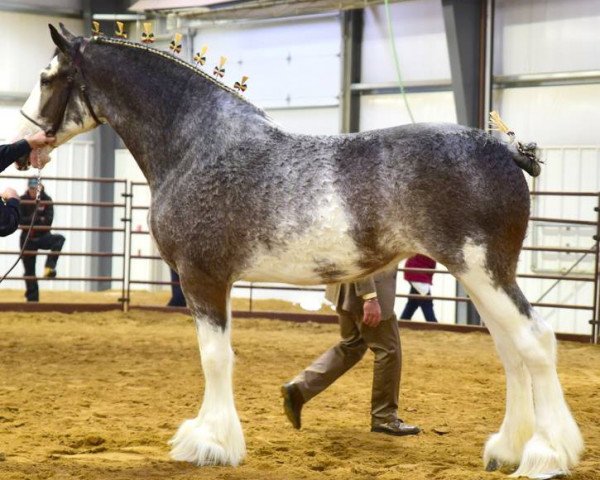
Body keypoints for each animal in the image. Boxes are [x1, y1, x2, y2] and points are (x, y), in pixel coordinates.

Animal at [17, 24, 580, 478]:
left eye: (46, 78)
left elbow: (214, 357)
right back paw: (506, 449)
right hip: (475, 276)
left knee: (535, 343)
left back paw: (547, 454)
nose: (25, 145)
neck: (197, 147)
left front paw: (211, 444)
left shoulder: (202, 278)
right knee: (510, 352)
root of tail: (504, 148)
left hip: (485, 271)